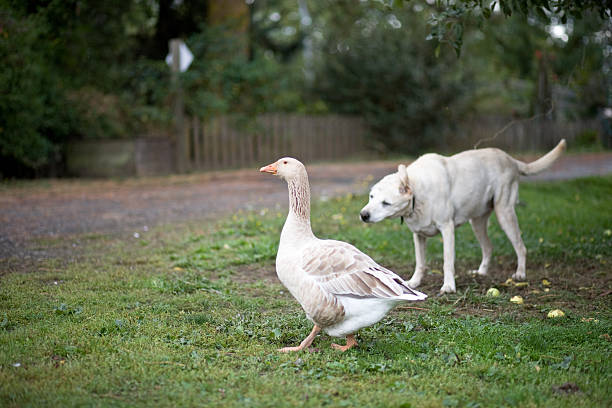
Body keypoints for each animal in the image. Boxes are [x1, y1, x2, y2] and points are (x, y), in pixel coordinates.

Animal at [360, 140, 568, 294]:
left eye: (386, 203)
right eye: (371, 197)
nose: (363, 215)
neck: (418, 190)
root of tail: (509, 158)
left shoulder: (447, 229)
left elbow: (447, 261)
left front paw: (448, 287)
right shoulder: (418, 235)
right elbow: (420, 262)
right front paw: (414, 282)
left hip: (505, 213)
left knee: (521, 247)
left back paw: (520, 274)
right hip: (477, 222)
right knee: (488, 247)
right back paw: (481, 272)